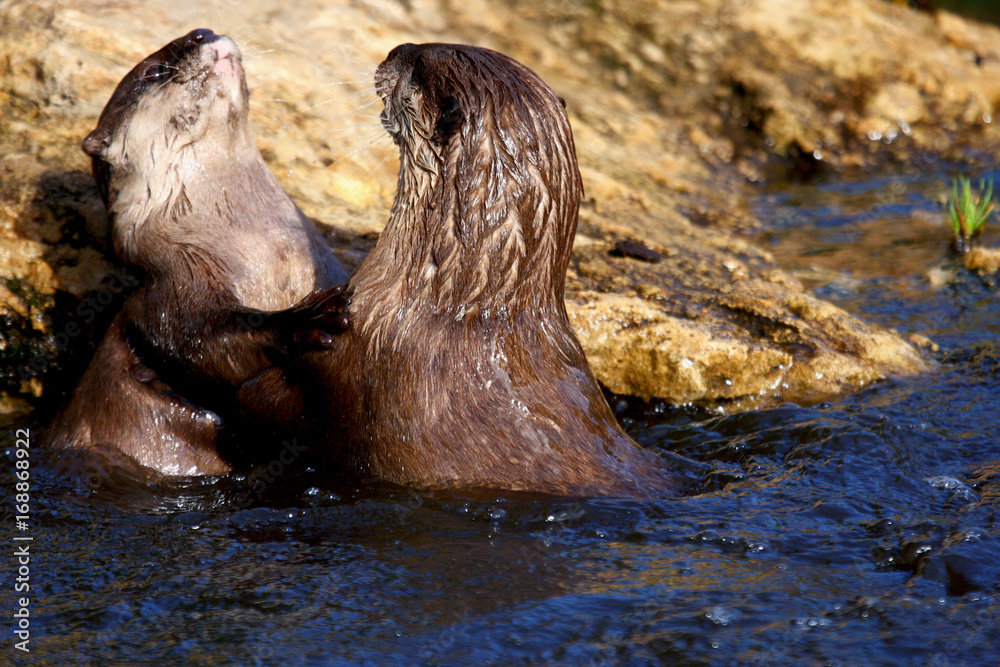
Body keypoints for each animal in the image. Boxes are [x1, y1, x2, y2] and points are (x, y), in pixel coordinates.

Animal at [47, 29, 348, 476]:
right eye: (153, 72)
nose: (200, 33)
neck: (265, 251)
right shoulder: (171, 282)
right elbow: (202, 342)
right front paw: (307, 318)